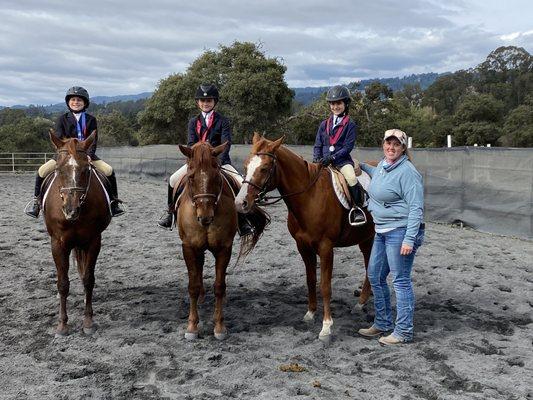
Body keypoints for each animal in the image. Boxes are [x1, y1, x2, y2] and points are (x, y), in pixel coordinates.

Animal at [42, 130, 112, 334]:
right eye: (59, 170)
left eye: (87, 170)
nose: (70, 209)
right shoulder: (58, 243)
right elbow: (63, 283)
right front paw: (62, 324)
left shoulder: (93, 241)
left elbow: (88, 279)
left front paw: (88, 321)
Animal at [176, 141, 260, 340]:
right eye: (191, 176)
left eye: (216, 176)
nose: (205, 217)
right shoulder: (189, 247)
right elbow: (192, 285)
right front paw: (192, 326)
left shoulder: (223, 248)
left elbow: (219, 286)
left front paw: (219, 327)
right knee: (198, 271)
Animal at [235, 133, 376, 342]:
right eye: (246, 166)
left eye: (264, 168)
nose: (240, 203)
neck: (310, 197)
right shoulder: (302, 246)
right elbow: (310, 280)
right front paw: (310, 314)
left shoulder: (326, 247)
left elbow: (325, 285)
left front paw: (326, 326)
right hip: (366, 239)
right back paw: (361, 303)